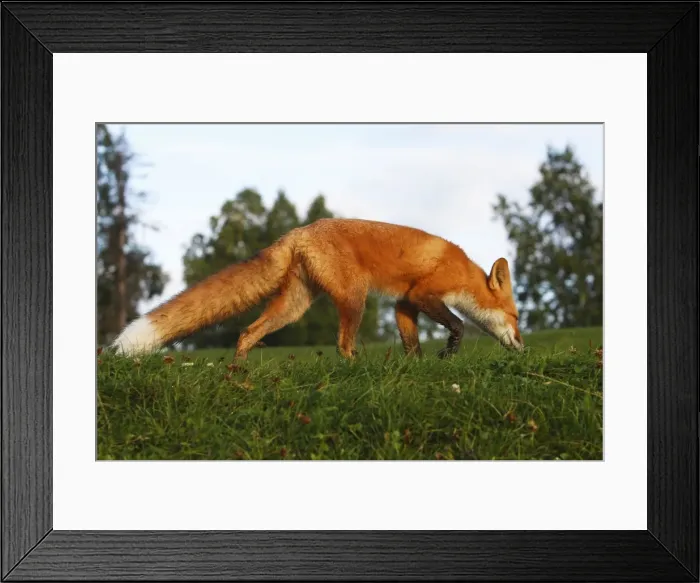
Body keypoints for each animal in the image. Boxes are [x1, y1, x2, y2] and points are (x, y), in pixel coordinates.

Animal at [111, 218, 524, 359]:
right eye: (517, 317)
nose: (523, 347)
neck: (462, 271)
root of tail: (299, 231)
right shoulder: (423, 294)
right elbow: (459, 325)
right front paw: (449, 351)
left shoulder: (404, 304)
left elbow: (412, 346)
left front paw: (417, 369)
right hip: (355, 298)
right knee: (342, 345)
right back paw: (358, 371)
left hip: (294, 306)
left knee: (247, 333)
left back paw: (237, 375)